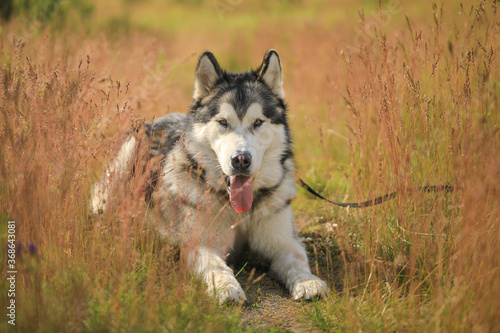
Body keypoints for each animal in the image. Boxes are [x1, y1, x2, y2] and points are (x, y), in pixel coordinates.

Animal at [92, 50, 328, 304]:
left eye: (258, 122)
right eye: (223, 122)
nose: (241, 160)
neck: (240, 213)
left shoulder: (283, 240)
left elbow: (297, 259)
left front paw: (308, 281)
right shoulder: (200, 243)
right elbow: (216, 267)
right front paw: (227, 287)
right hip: (125, 159)